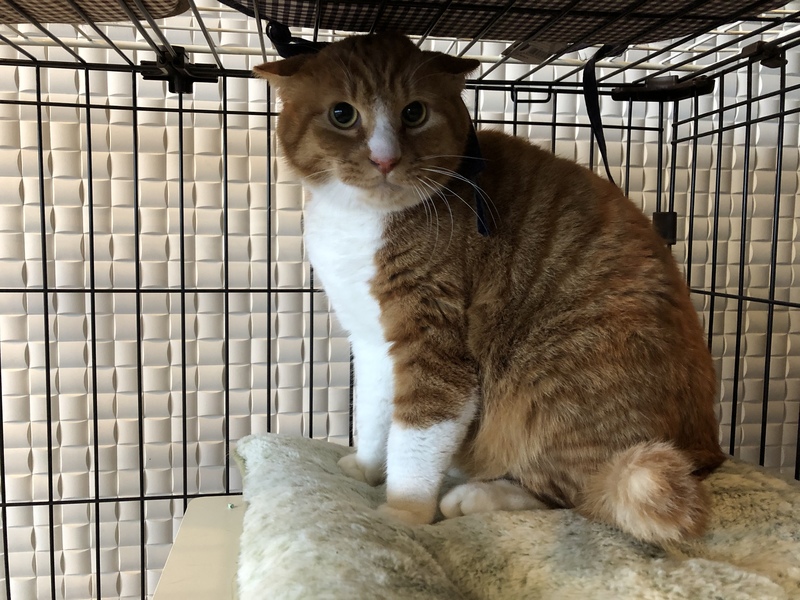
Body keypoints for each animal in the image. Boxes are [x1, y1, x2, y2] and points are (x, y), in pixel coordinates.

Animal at [254, 32, 726, 545]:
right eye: (343, 114)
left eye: (414, 112)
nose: (385, 159)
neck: (360, 223)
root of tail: (706, 450)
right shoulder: (375, 345)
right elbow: (375, 415)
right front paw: (366, 466)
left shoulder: (435, 349)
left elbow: (415, 439)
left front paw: (404, 513)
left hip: (553, 385)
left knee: (580, 494)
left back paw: (480, 497)